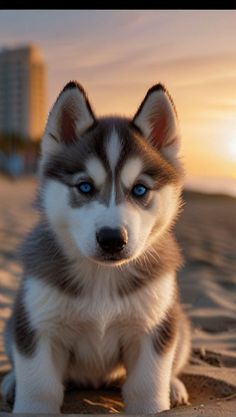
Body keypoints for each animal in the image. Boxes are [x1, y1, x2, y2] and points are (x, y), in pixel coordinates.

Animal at [0, 81, 191, 412]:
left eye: (140, 190)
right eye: (85, 187)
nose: (112, 238)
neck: (103, 277)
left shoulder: (152, 329)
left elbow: (147, 389)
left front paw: (158, 397)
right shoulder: (37, 326)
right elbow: (39, 390)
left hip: (177, 323)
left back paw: (174, 386)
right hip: (13, 325)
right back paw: (11, 382)